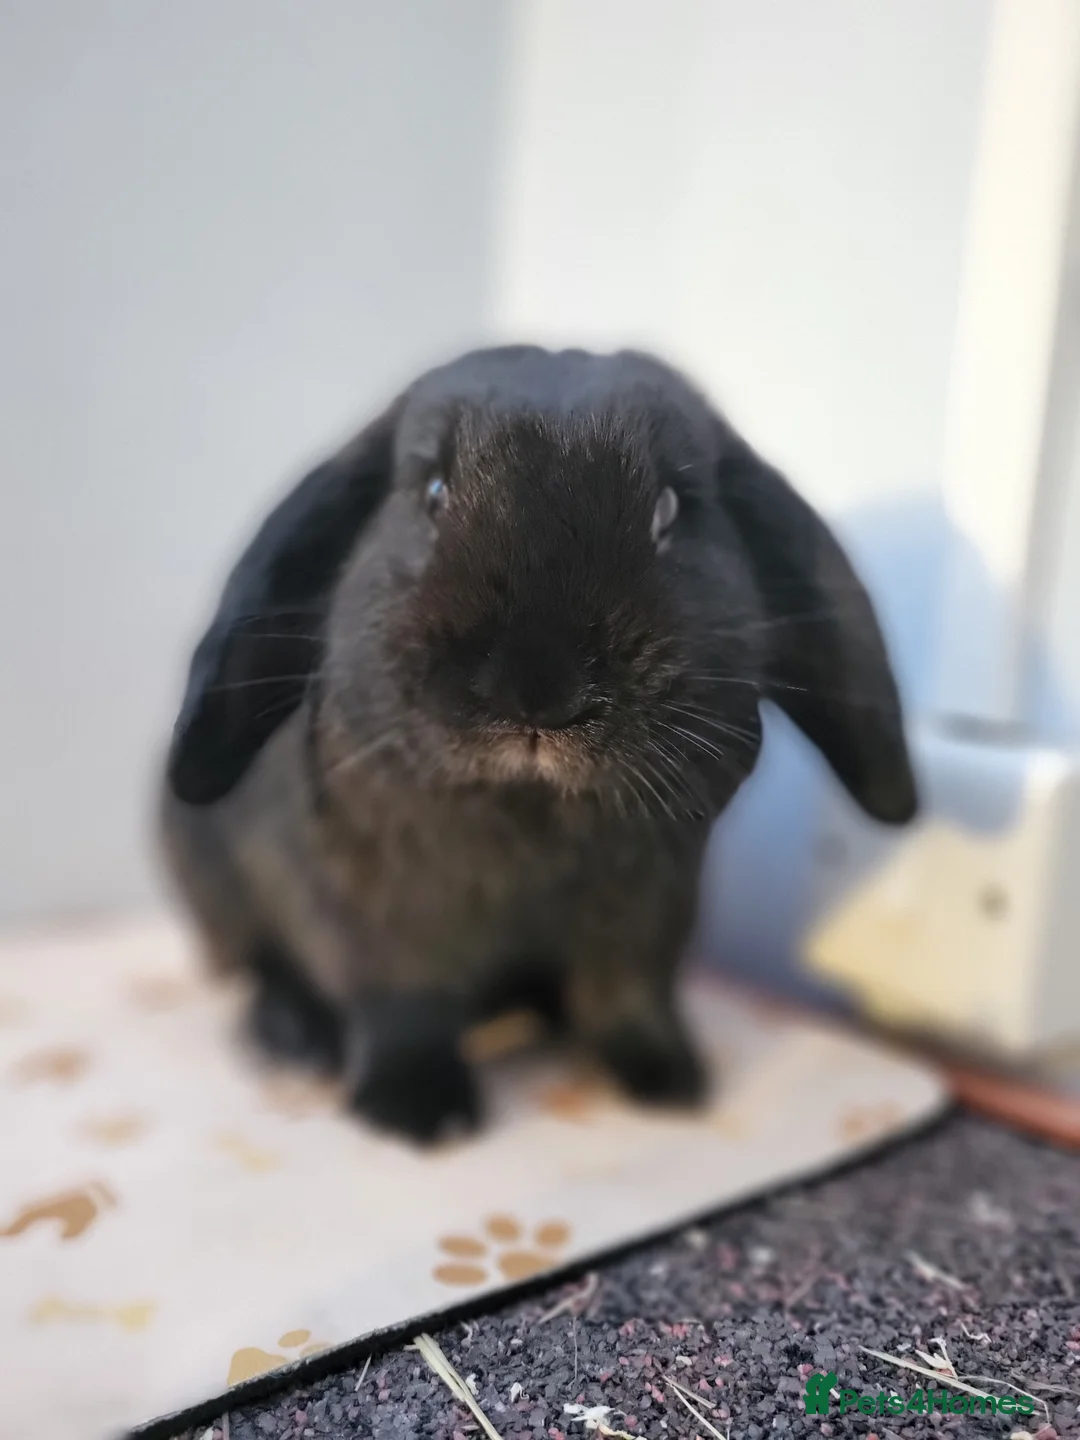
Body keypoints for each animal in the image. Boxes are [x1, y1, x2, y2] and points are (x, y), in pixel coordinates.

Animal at [160, 344, 917, 1144]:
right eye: (433, 494)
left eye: (669, 510)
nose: (538, 690)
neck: (529, 818)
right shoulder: (377, 912)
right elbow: (403, 1002)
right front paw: (416, 1113)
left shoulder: (650, 907)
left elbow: (626, 990)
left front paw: (668, 1080)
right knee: (257, 961)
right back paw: (293, 1040)